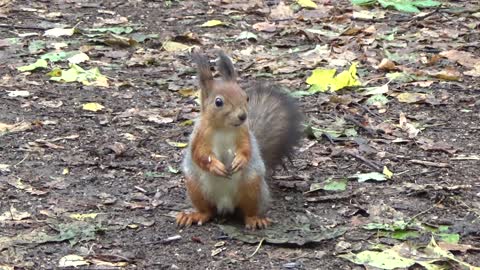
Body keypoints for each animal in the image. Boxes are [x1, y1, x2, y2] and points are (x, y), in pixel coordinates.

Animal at [176, 51, 304, 230]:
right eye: (218, 102)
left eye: (246, 97)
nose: (243, 116)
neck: (224, 128)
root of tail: (225, 206)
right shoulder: (199, 136)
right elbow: (199, 154)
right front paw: (215, 166)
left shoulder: (244, 134)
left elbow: (246, 149)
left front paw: (240, 161)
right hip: (196, 188)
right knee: (207, 211)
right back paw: (194, 215)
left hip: (252, 186)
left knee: (248, 211)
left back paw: (255, 219)